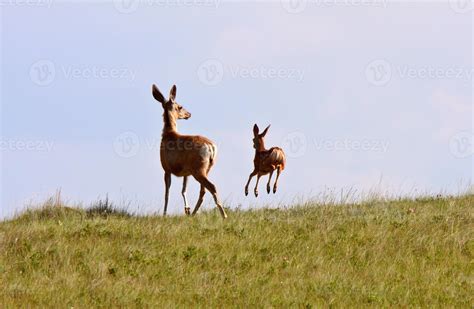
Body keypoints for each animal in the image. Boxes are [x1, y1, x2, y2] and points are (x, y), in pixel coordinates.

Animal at [151, 83, 227, 218]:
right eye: (180, 107)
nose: (189, 114)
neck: (168, 134)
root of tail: (211, 147)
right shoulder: (186, 172)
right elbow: (183, 190)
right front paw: (187, 209)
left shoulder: (166, 168)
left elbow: (167, 194)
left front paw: (164, 214)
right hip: (205, 168)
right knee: (203, 191)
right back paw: (193, 214)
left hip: (198, 169)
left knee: (211, 187)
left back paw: (224, 215)